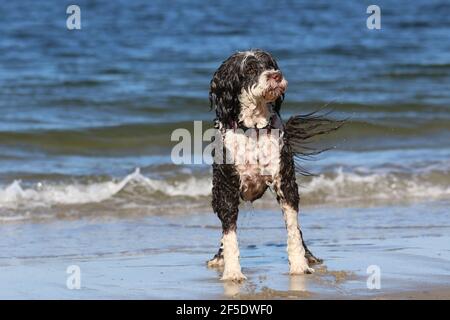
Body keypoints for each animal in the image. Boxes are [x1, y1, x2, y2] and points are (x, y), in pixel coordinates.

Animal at [207, 48, 334, 282]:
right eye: (249, 68)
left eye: (270, 64)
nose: (276, 75)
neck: (253, 129)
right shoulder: (227, 188)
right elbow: (229, 233)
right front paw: (232, 271)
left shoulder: (285, 182)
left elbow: (293, 228)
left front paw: (300, 265)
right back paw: (219, 258)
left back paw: (309, 256)